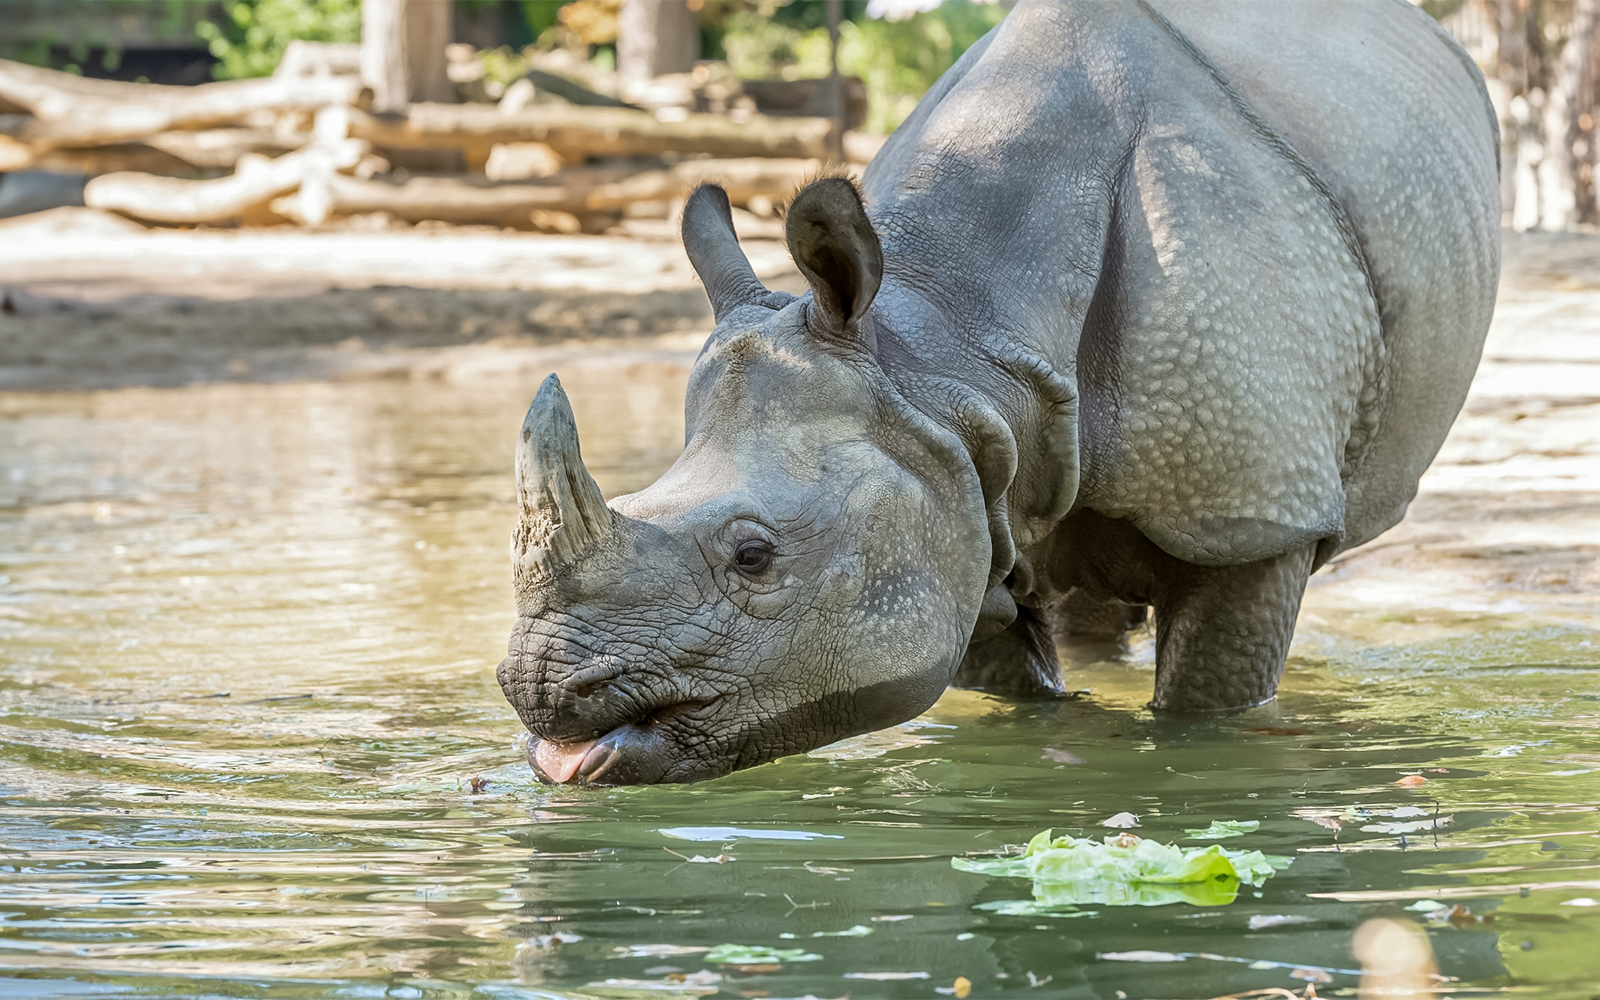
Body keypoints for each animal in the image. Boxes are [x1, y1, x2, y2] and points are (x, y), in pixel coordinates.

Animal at [497, 0, 1500, 784]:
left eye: (754, 556)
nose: (544, 691)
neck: (946, 349)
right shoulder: (956, 478)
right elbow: (1022, 687)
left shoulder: (1252, 512)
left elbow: (1209, 700)